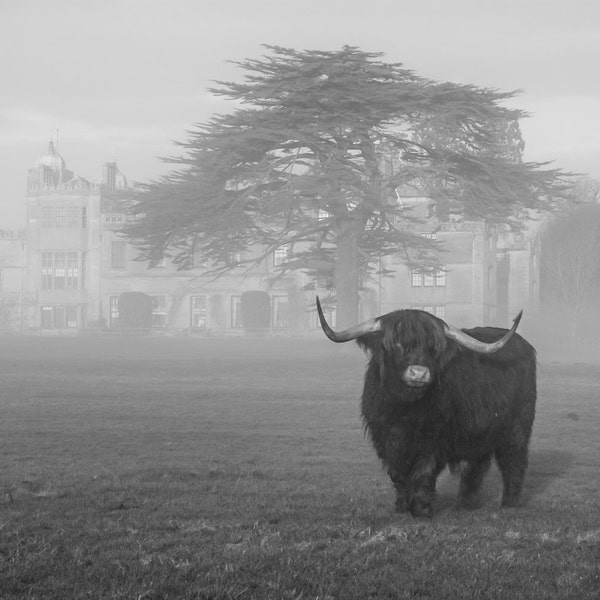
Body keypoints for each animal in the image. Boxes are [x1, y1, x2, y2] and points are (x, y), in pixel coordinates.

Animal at [316, 298, 536, 516]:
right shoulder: (385, 439)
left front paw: (421, 509)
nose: (419, 373)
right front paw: (401, 506)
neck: (404, 411)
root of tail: (525, 345)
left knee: (514, 459)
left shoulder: (433, 439)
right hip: (479, 430)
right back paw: (466, 503)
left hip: (517, 425)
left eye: (433, 347)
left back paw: (509, 502)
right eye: (396, 343)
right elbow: (397, 474)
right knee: (476, 465)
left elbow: (423, 473)